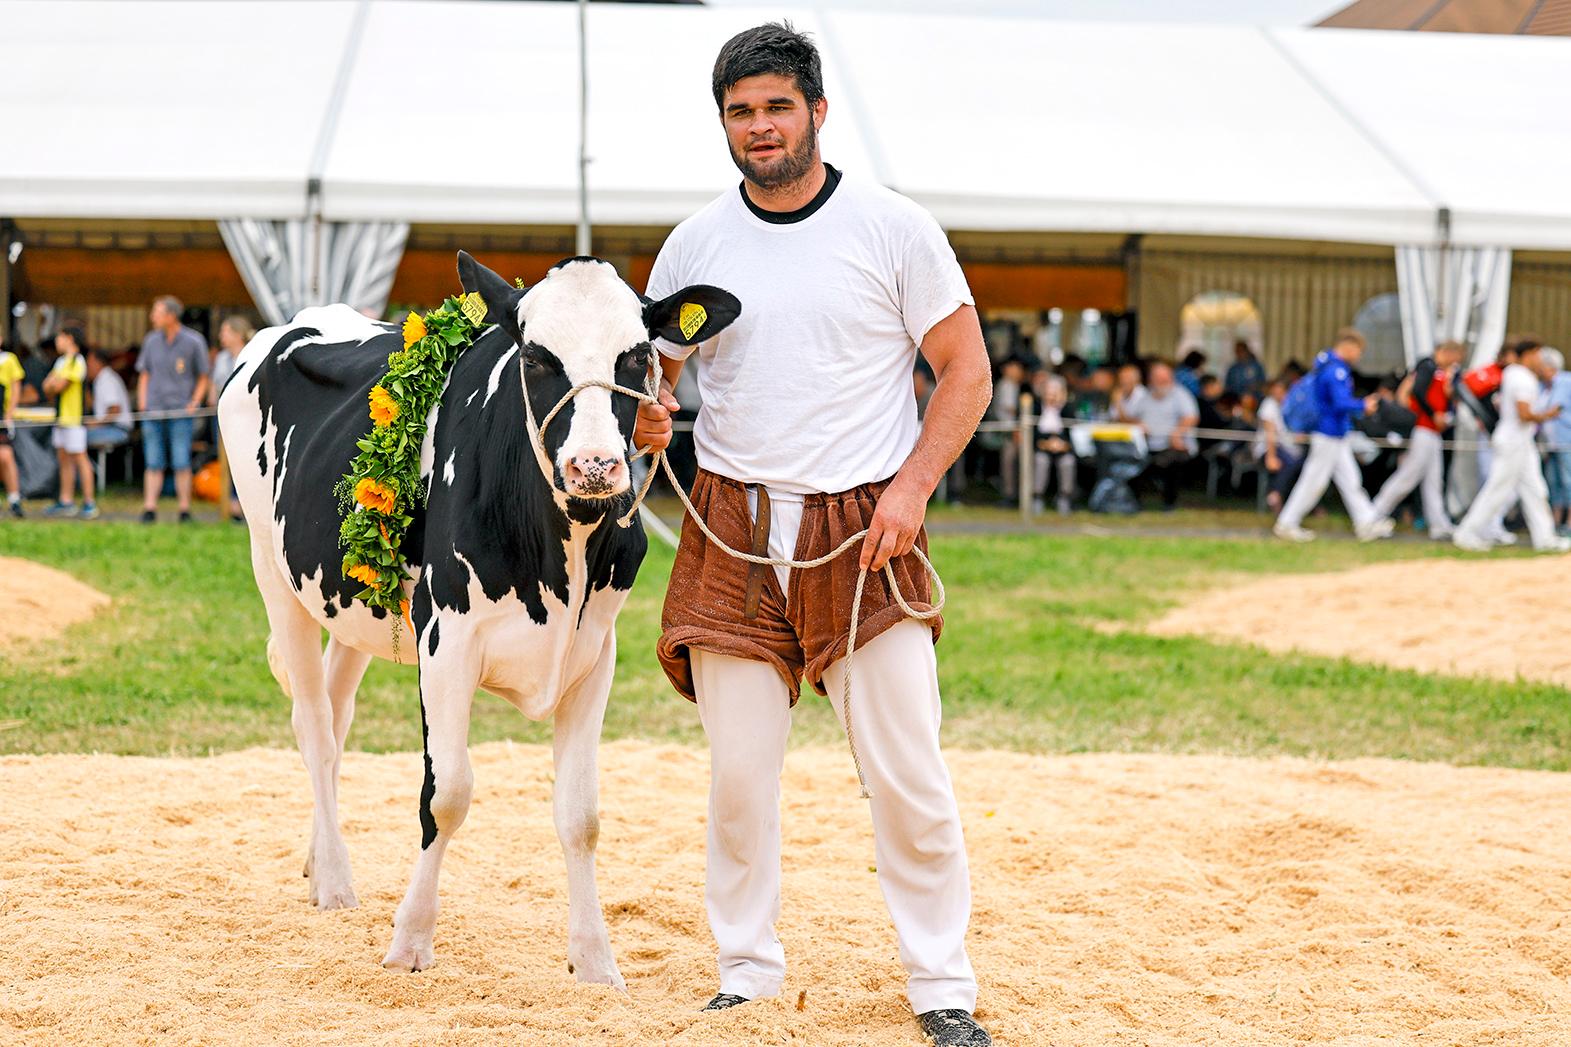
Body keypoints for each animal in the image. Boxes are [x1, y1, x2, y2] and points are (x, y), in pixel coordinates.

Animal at [215, 253, 741, 980]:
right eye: (536, 357)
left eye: (636, 356)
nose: (595, 465)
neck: (557, 555)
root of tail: (294, 323)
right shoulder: (447, 640)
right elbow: (447, 794)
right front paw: (410, 941)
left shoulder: (595, 653)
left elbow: (581, 814)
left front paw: (595, 960)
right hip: (273, 570)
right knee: (313, 724)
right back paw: (337, 881)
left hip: (355, 597)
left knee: (336, 714)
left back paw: (318, 861)